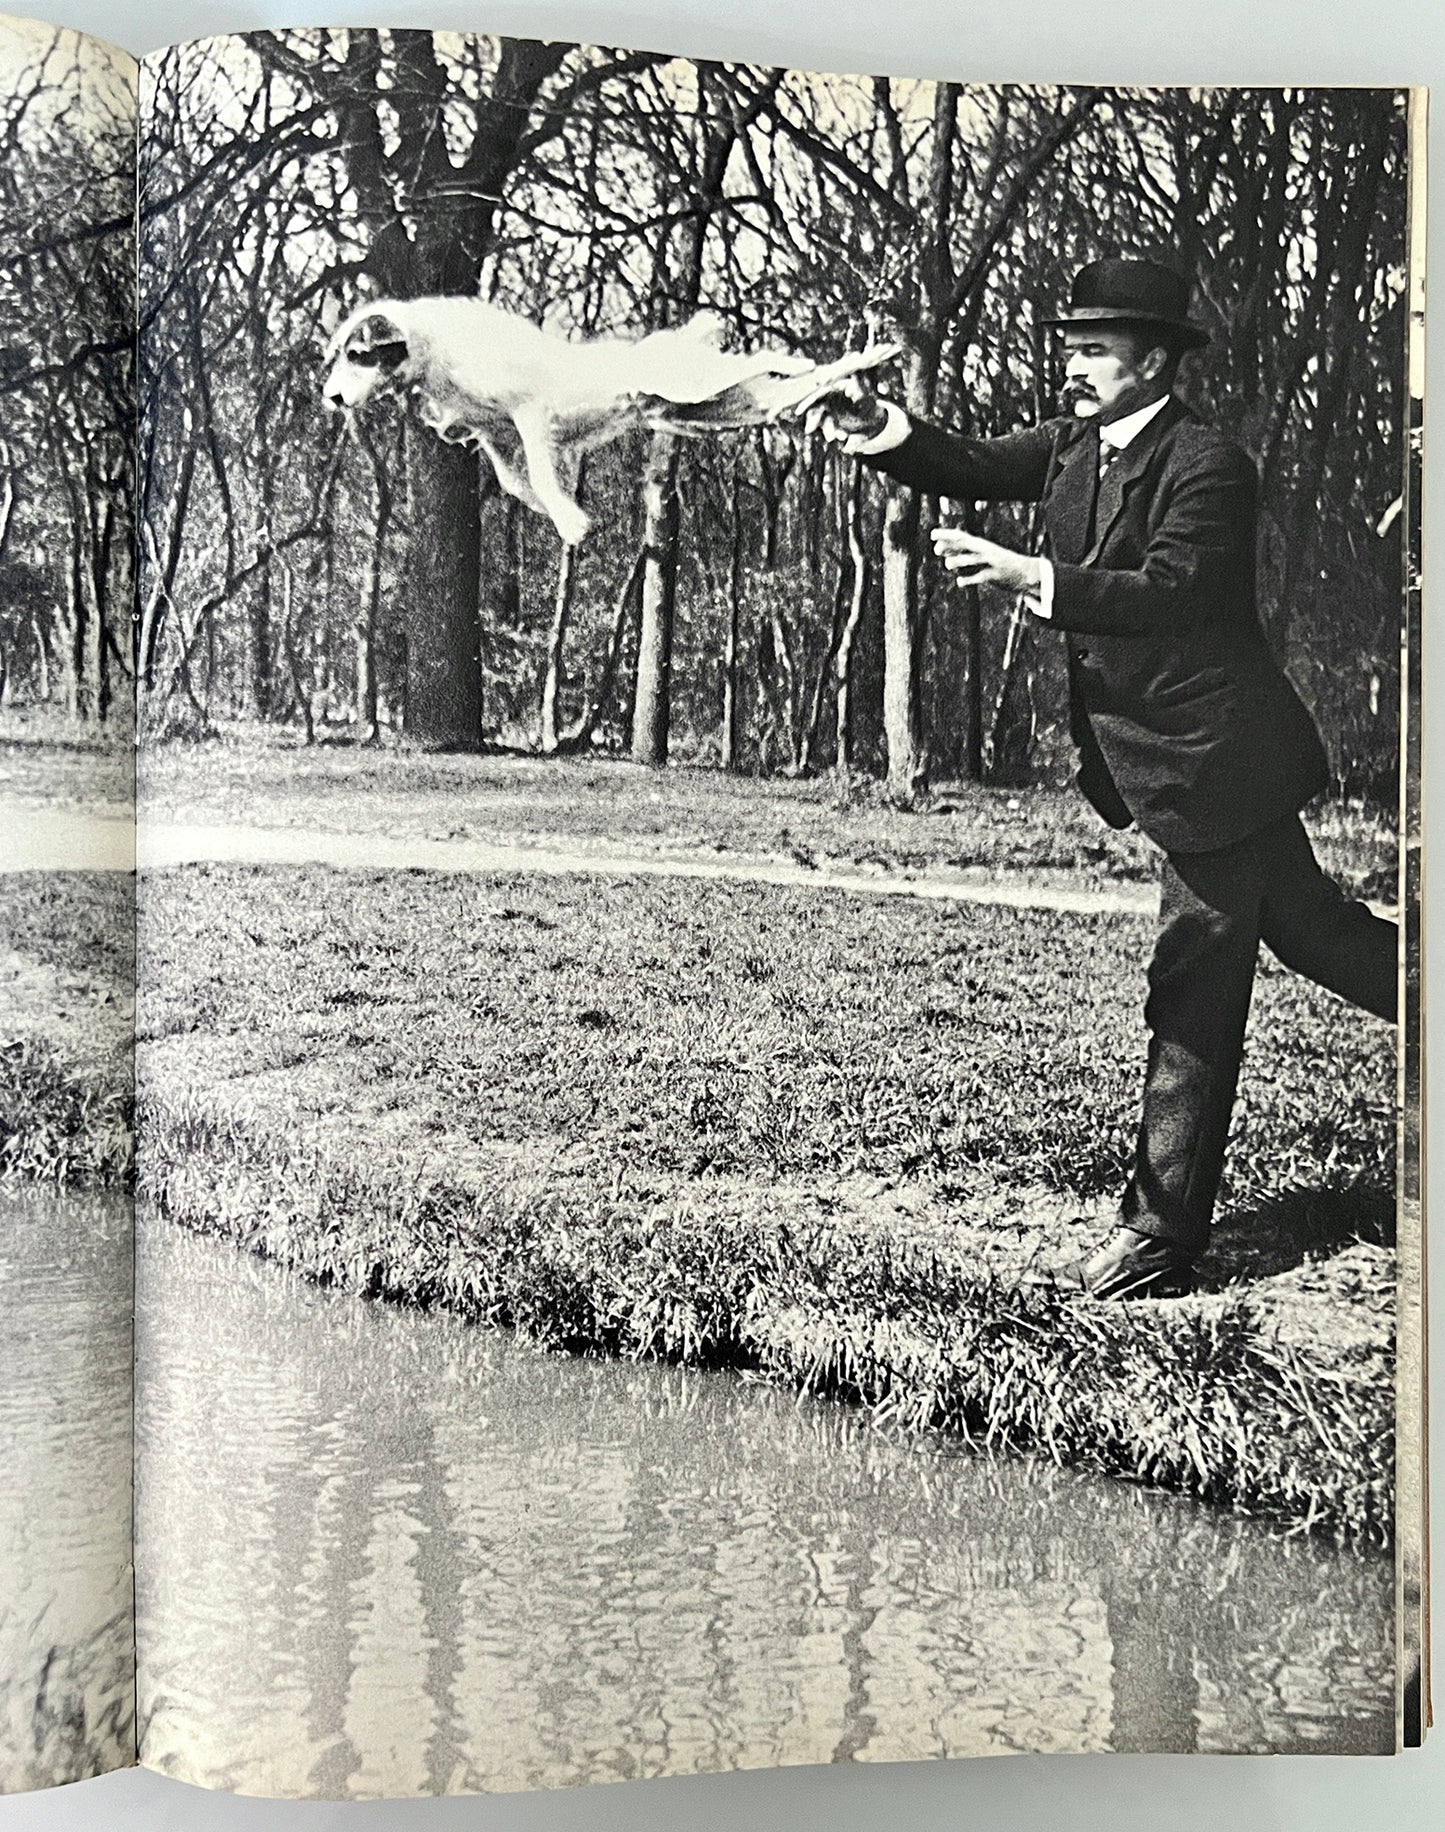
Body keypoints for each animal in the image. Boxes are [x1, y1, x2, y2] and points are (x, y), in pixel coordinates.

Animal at [320, 296, 897, 542]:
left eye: (357, 355)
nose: (330, 398)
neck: (433, 349)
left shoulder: (532, 417)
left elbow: (540, 478)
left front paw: (570, 520)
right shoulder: (495, 437)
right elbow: (516, 483)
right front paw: (569, 516)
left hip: (696, 384)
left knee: (770, 360)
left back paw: (846, 358)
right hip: (712, 409)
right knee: (786, 390)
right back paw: (843, 380)